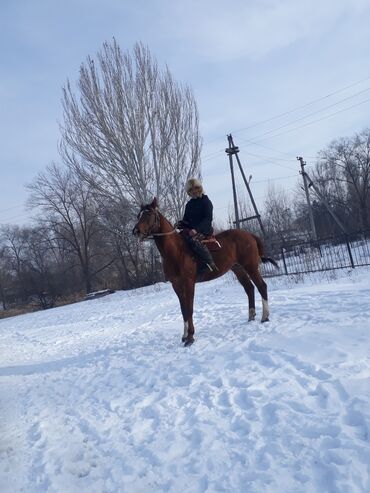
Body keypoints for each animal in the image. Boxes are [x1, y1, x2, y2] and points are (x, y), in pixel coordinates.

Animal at [133, 197, 278, 346]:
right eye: (139, 215)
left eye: (148, 214)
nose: (136, 231)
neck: (176, 251)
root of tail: (250, 235)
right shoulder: (176, 285)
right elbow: (183, 309)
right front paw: (184, 335)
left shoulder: (189, 282)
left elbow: (189, 309)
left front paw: (190, 337)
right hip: (238, 269)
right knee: (249, 288)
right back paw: (251, 316)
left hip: (250, 266)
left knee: (261, 286)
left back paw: (265, 317)